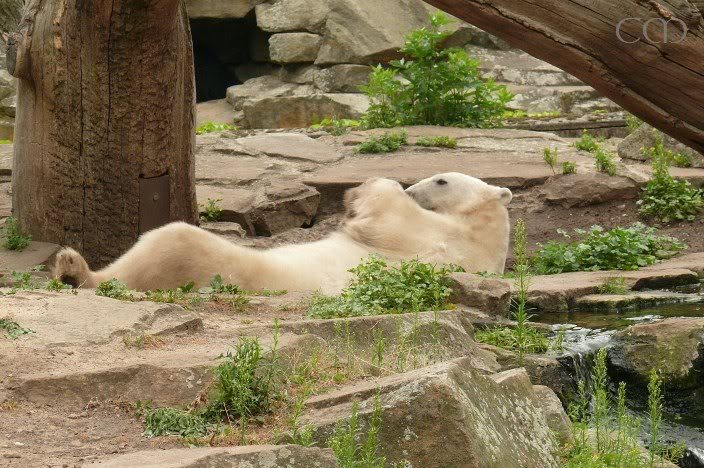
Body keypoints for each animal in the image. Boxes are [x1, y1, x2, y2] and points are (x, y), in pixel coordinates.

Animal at [52, 173, 512, 294]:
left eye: (441, 180)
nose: (416, 187)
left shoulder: (433, 240)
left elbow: (388, 216)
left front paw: (359, 193)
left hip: (221, 265)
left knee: (171, 241)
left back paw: (75, 270)